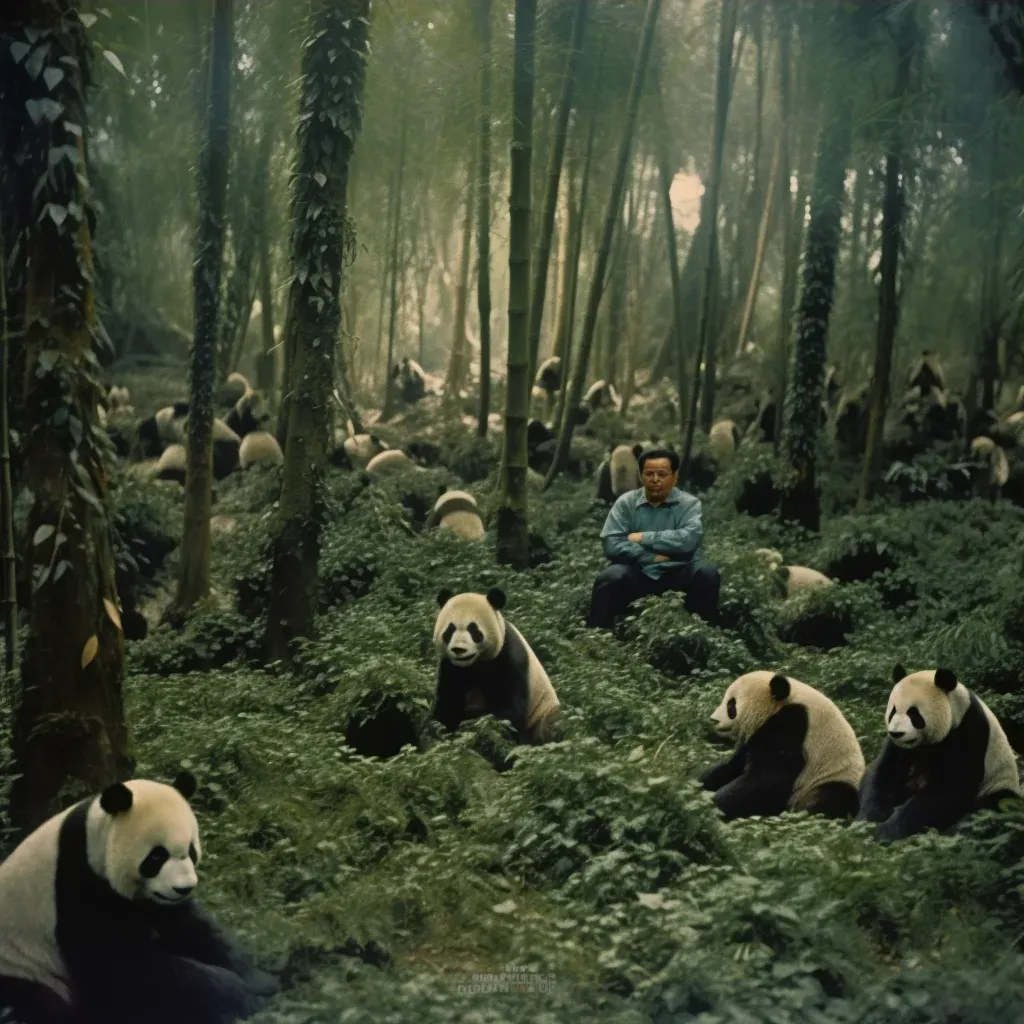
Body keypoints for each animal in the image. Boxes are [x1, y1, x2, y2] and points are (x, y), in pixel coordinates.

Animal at [0, 770, 276, 1019]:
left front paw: (259, 980)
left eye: (191, 850)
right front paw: (239, 996)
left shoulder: (157, 900)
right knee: (38, 1004)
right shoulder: (76, 885)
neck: (92, 835)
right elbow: (119, 965)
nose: (184, 888)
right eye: (157, 856)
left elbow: (192, 926)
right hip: (23, 965)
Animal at [432, 593, 561, 745]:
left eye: (473, 630)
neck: (474, 663)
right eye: (450, 630)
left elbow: (511, 708)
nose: (459, 649)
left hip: (543, 716)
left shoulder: (509, 657)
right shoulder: (450, 666)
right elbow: (448, 702)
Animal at [696, 667, 864, 819]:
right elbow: (732, 766)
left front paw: (715, 806)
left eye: (731, 705)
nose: (713, 720)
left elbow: (768, 781)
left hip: (830, 779)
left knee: (827, 798)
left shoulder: (791, 724)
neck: (782, 703)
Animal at [856, 663, 1024, 839]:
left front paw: (887, 831)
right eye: (893, 711)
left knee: (993, 807)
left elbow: (950, 790)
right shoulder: (899, 748)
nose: (896, 733)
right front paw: (867, 821)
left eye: (913, 714)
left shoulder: (970, 732)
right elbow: (884, 773)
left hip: (996, 783)